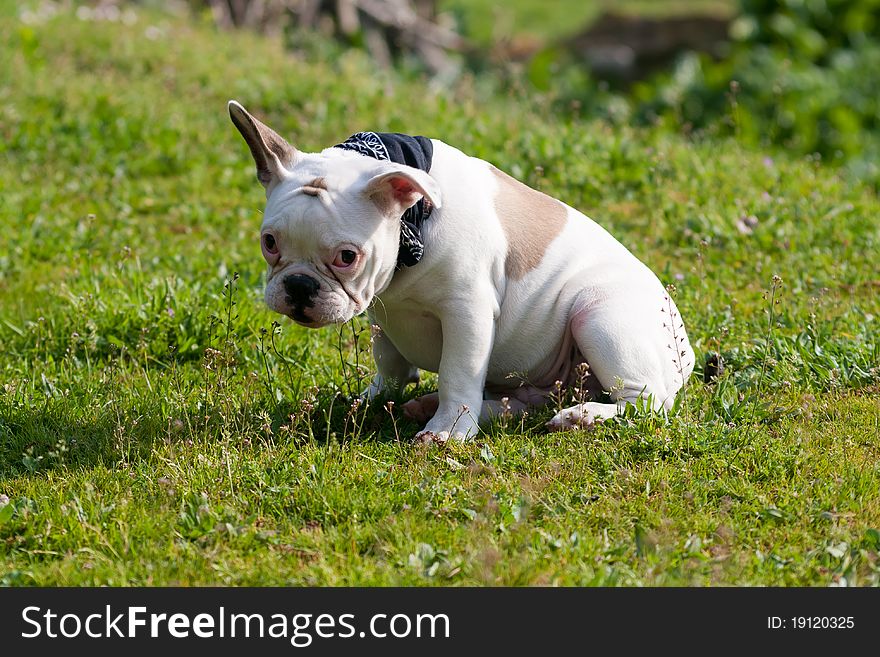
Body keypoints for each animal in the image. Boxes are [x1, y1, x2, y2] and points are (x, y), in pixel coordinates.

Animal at [229, 100, 696, 444]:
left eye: (347, 256)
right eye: (269, 243)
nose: (299, 285)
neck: (411, 223)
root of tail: (685, 354)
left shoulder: (466, 312)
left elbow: (458, 372)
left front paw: (447, 432)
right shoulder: (383, 312)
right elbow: (389, 363)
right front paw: (374, 397)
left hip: (597, 314)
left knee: (647, 401)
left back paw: (583, 416)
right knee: (526, 401)